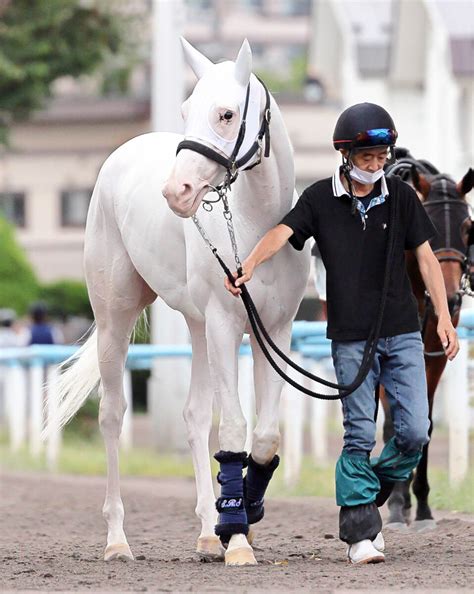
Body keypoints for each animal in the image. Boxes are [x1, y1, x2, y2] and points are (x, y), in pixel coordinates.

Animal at [48, 39, 312, 568]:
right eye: (186, 109)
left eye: (226, 114)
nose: (177, 192)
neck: (255, 229)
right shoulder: (226, 325)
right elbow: (233, 427)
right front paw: (239, 544)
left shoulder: (275, 330)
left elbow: (264, 435)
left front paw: (243, 514)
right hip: (117, 318)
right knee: (112, 414)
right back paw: (118, 541)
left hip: (196, 326)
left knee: (192, 416)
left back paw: (209, 533)